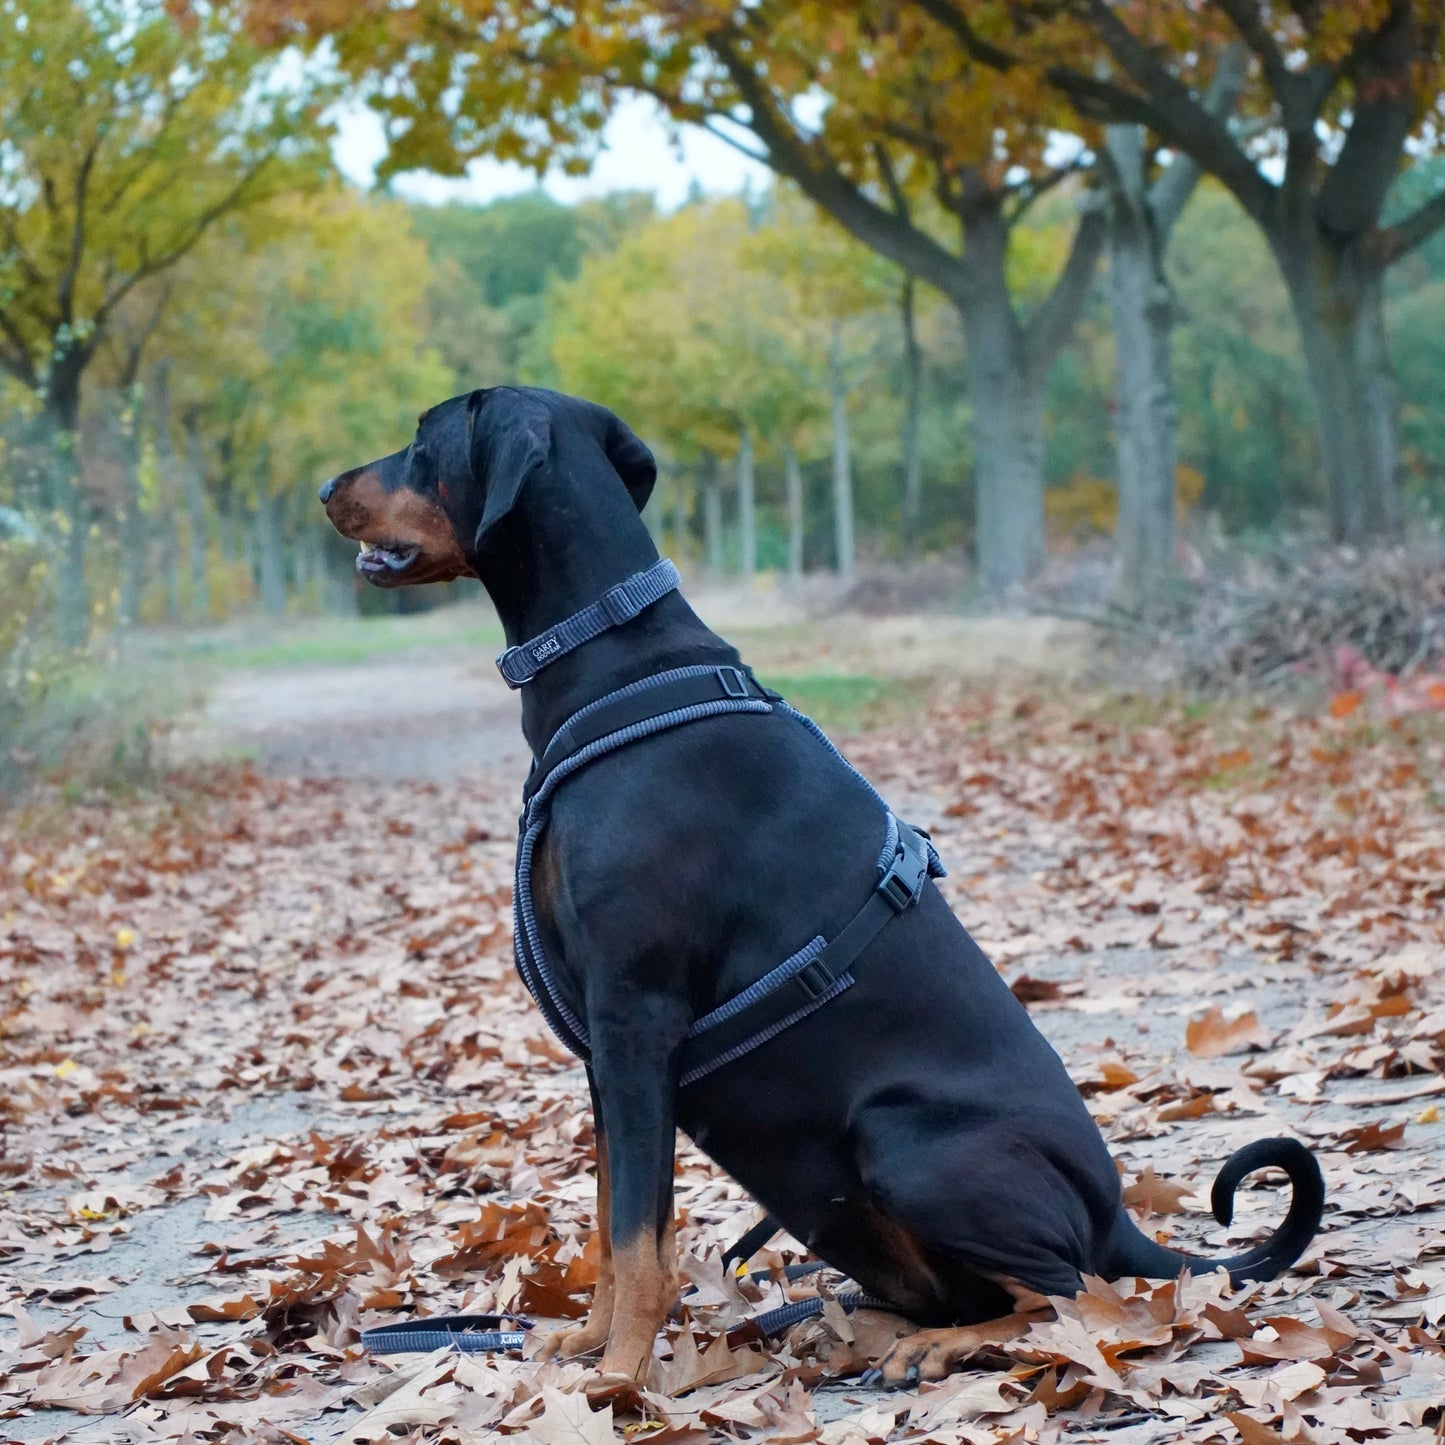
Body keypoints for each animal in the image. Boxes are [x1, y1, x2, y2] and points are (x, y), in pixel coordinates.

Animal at [322, 387, 1323, 1387]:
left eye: (420, 439)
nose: (328, 486)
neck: (613, 662)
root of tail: (1119, 1217)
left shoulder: (637, 1013)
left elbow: (641, 1239)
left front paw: (622, 1374)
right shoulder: (605, 1053)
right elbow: (613, 1220)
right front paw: (589, 1340)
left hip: (905, 1141)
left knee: (1073, 1294)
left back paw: (938, 1345)